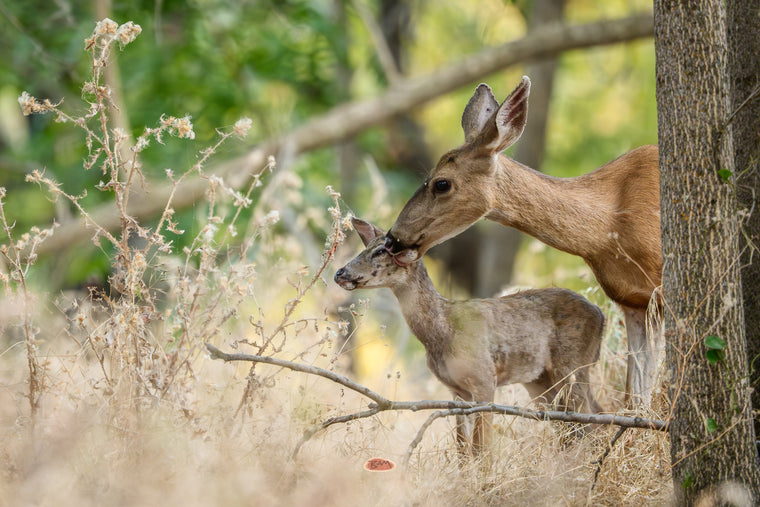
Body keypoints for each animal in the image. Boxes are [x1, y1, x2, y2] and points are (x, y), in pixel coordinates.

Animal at [334, 217, 604, 455]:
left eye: (381, 251)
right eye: (366, 247)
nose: (340, 273)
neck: (442, 331)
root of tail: (601, 315)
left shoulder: (485, 380)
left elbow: (481, 449)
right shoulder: (457, 392)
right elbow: (463, 452)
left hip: (572, 366)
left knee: (592, 421)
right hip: (540, 381)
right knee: (579, 426)